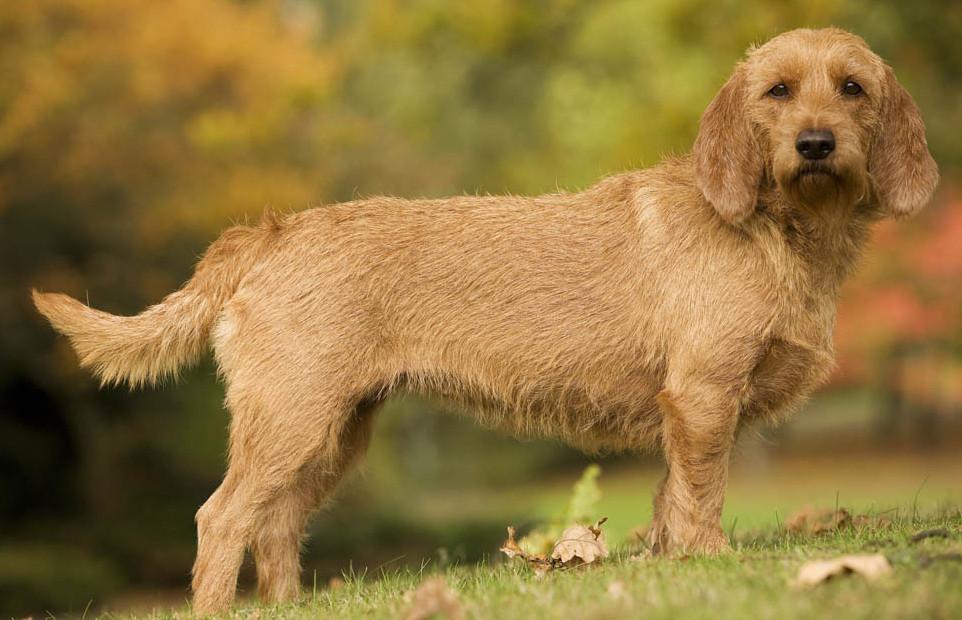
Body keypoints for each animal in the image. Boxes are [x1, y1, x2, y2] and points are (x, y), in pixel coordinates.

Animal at [31, 27, 936, 612]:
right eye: (777, 90)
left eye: (851, 87)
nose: (815, 143)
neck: (777, 230)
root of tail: (270, 232)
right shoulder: (704, 396)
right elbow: (702, 493)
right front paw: (709, 562)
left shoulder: (686, 412)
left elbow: (670, 499)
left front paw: (673, 566)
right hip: (290, 420)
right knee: (221, 518)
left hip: (331, 433)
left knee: (277, 523)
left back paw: (289, 607)